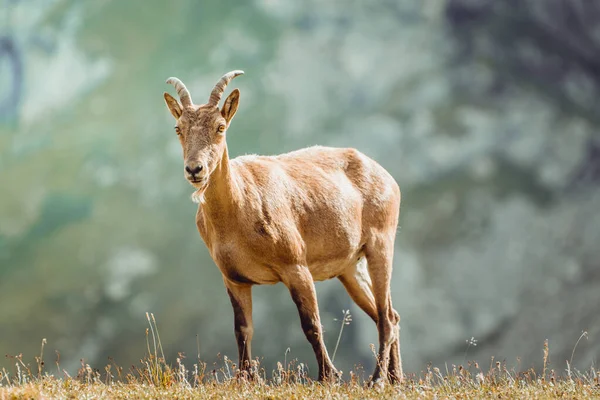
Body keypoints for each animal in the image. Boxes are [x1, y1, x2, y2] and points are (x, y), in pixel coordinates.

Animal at [164, 71, 404, 384]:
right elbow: (242, 329)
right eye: (178, 128)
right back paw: (396, 379)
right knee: (388, 314)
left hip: (380, 245)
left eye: (220, 127)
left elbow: (311, 324)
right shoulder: (235, 279)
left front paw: (328, 376)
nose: (195, 169)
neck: (236, 212)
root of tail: (386, 176)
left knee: (386, 316)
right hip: (350, 268)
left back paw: (376, 380)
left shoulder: (296, 267)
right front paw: (244, 378)